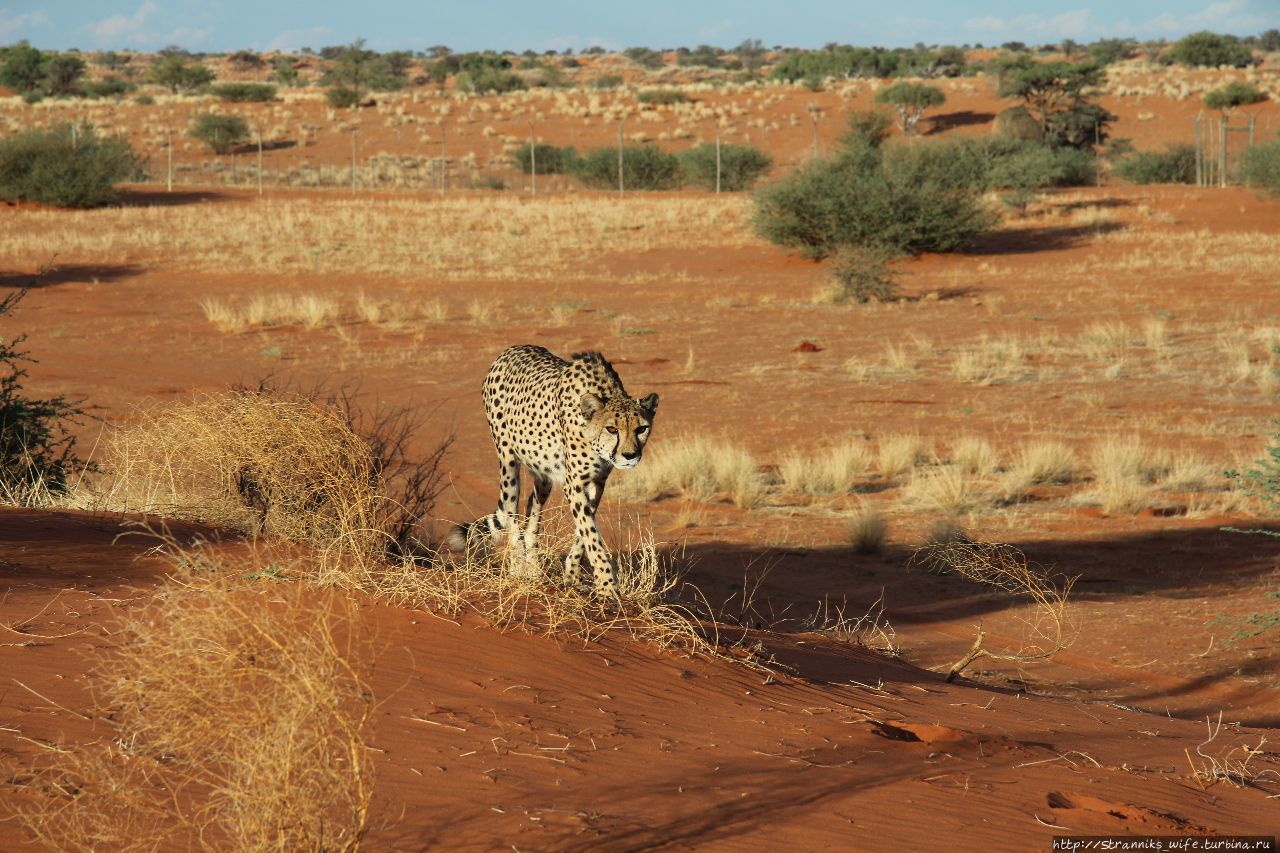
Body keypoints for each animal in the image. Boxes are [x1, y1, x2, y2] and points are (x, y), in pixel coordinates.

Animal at [448, 343, 660, 594]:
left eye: (641, 429)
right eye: (612, 429)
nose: (630, 456)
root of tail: (512, 349)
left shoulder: (596, 482)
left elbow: (583, 532)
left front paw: (572, 576)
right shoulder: (574, 483)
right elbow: (591, 534)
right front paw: (607, 587)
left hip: (544, 476)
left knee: (531, 515)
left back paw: (534, 571)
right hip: (508, 462)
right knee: (511, 515)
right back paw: (518, 569)